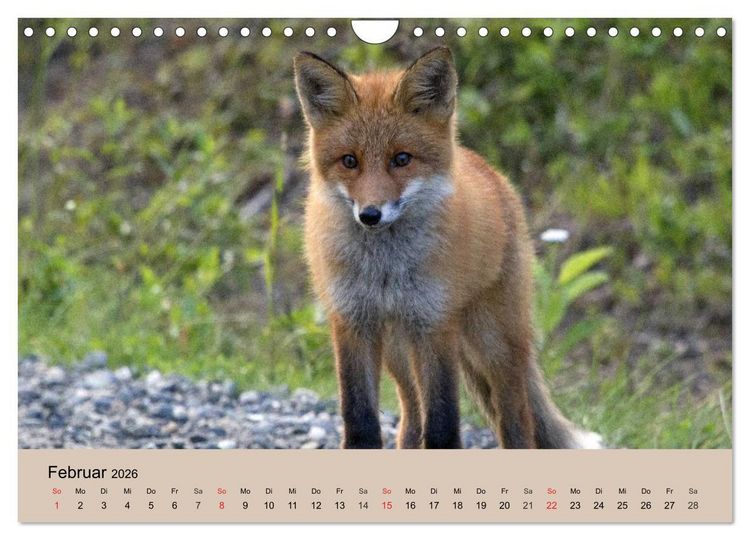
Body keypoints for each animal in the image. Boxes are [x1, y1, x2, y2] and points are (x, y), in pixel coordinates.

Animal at [293, 47, 603, 449]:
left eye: (401, 159)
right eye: (350, 161)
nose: (370, 214)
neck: (386, 269)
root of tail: (488, 169)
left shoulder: (434, 324)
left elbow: (442, 424)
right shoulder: (352, 322)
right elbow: (360, 420)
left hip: (492, 342)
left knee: (516, 415)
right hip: (397, 350)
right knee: (412, 416)